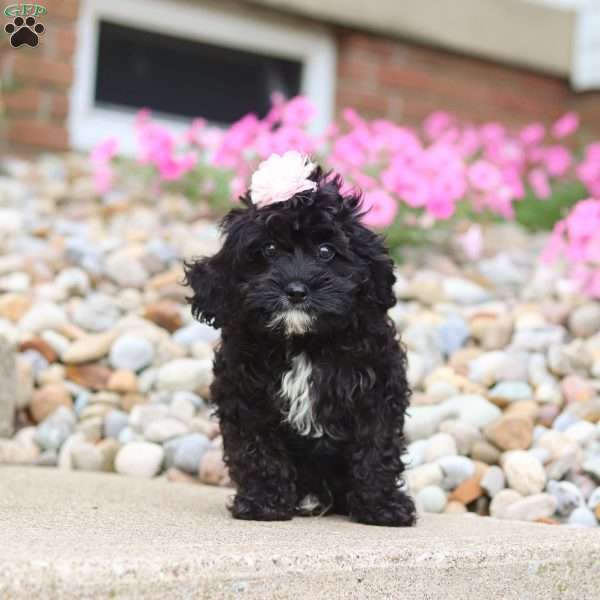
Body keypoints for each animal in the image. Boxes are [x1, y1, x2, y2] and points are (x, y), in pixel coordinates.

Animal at [185, 157, 414, 528]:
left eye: (326, 251)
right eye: (268, 249)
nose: (295, 290)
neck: (302, 342)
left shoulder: (377, 390)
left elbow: (375, 449)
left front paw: (382, 507)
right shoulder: (244, 396)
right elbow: (258, 450)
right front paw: (263, 502)